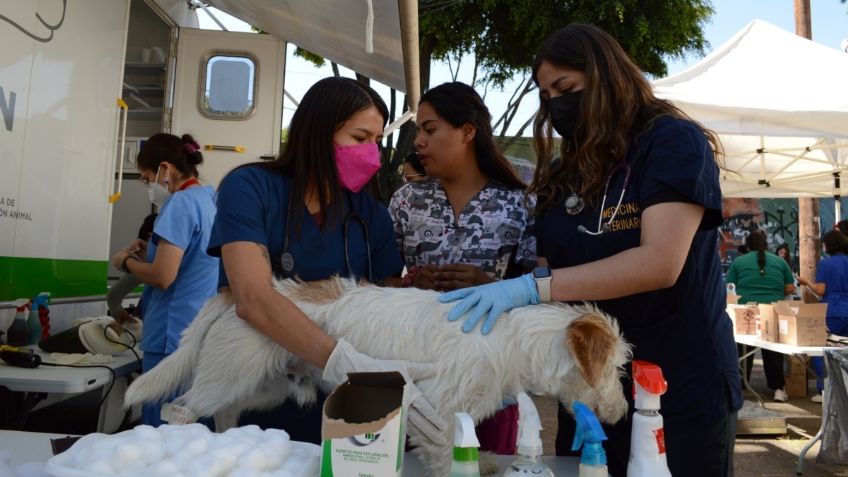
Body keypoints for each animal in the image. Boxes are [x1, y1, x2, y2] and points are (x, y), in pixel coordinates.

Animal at [124, 278, 628, 474]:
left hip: (260, 386)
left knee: (226, 412)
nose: (623, 412)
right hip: (226, 377)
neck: (511, 339)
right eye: (618, 367)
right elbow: (445, 457)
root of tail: (234, 293)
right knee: (179, 408)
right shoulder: (439, 413)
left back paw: (229, 440)